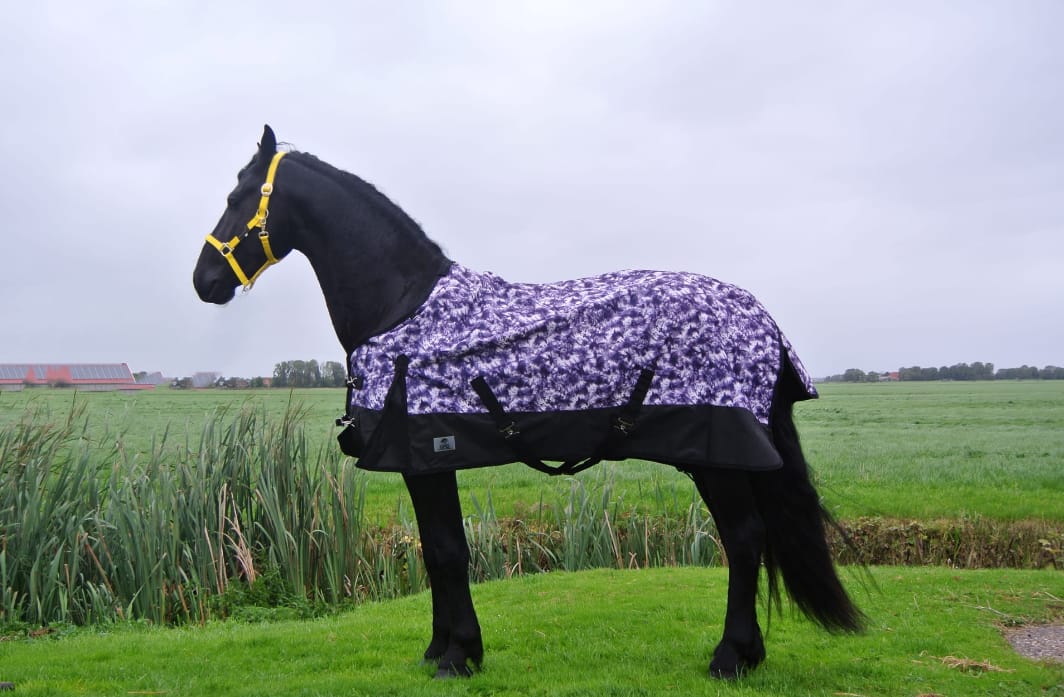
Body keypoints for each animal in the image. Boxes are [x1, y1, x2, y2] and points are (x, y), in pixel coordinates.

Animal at [193, 125, 864, 680]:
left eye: (237, 196)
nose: (205, 282)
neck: (401, 305)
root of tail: (762, 320)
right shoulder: (425, 461)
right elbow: (438, 552)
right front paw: (441, 649)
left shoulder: (425, 457)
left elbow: (447, 551)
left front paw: (458, 656)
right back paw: (749, 655)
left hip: (715, 456)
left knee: (745, 539)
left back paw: (730, 658)